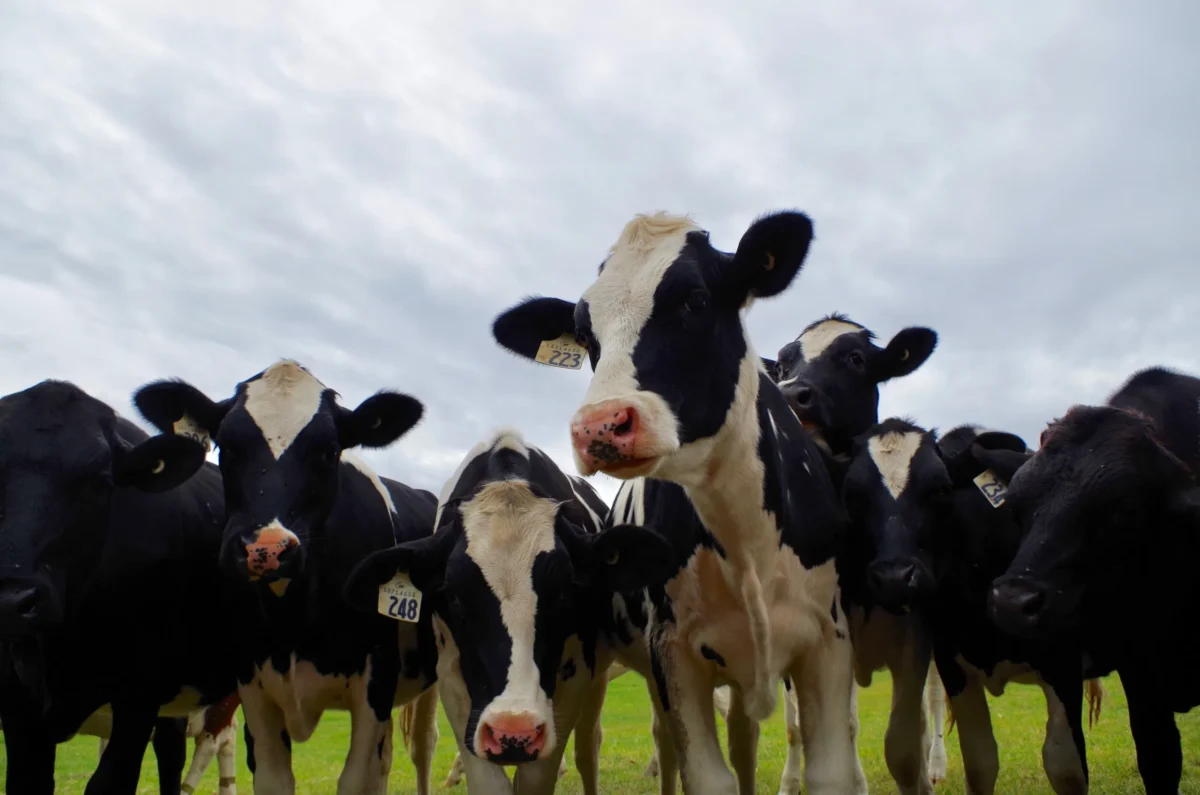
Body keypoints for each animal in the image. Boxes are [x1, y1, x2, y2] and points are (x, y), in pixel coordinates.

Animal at [132, 360, 441, 795]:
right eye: (226, 446)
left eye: (328, 451)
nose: (267, 548)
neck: (292, 620)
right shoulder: (253, 687)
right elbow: (275, 778)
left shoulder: (374, 686)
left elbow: (354, 778)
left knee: (423, 744)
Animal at [342, 428, 673, 794]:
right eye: (454, 596)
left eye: (564, 593)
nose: (514, 732)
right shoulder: (452, 676)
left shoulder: (575, 675)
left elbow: (537, 777)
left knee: (592, 747)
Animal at [490, 209, 860, 795]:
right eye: (585, 334)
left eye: (696, 299)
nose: (599, 426)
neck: (743, 539)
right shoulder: (674, 651)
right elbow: (707, 776)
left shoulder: (829, 638)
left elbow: (827, 773)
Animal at [843, 418, 1099, 794]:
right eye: (854, 496)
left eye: (940, 489)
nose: (894, 577)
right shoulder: (955, 666)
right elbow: (980, 763)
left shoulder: (1061, 665)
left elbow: (1065, 766)